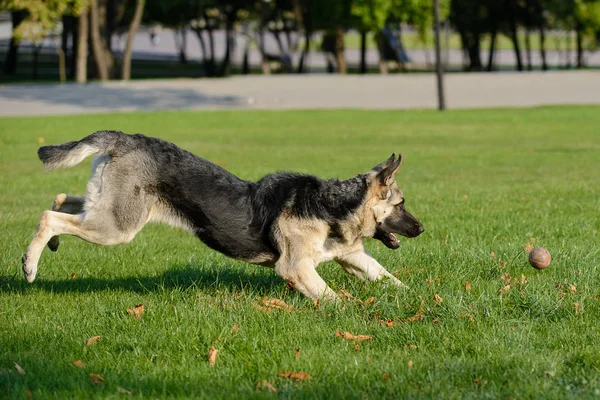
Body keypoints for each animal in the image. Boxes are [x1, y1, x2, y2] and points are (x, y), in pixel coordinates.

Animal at [23, 131, 424, 300]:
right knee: (47, 216)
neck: (332, 204)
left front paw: (419, 301)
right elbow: (333, 298)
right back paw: (29, 264)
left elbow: (390, 279)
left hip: (108, 210)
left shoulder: (353, 258)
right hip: (118, 226)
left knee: (62, 200)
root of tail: (124, 139)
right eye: (402, 204)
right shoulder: (295, 267)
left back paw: (50, 246)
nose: (422, 228)